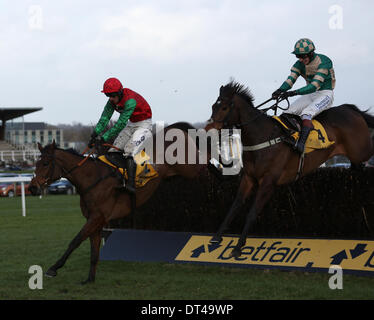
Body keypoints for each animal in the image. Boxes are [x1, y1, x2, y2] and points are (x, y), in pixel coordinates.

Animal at [28, 122, 205, 282]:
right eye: (35, 163)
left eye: (45, 163)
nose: (32, 188)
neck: (92, 178)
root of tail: (176, 131)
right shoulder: (96, 221)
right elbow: (94, 251)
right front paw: (90, 279)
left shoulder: (96, 217)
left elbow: (75, 241)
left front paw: (53, 268)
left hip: (191, 168)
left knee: (203, 163)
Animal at [205, 80, 374, 258]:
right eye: (213, 106)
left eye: (224, 107)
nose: (208, 130)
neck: (262, 137)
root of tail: (350, 109)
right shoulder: (249, 178)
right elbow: (234, 207)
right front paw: (216, 237)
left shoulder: (268, 182)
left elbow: (252, 213)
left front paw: (238, 247)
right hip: (356, 156)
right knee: (357, 167)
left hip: (361, 150)